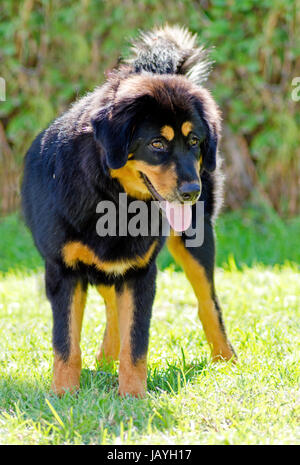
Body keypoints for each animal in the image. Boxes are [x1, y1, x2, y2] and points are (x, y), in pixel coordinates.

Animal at [22, 24, 236, 396]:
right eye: (157, 143)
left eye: (194, 141)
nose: (192, 192)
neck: (113, 200)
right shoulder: (64, 271)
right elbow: (67, 343)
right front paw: (64, 394)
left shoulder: (140, 272)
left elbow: (136, 343)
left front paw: (133, 395)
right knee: (111, 305)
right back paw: (105, 358)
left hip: (195, 241)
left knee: (208, 302)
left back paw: (226, 359)